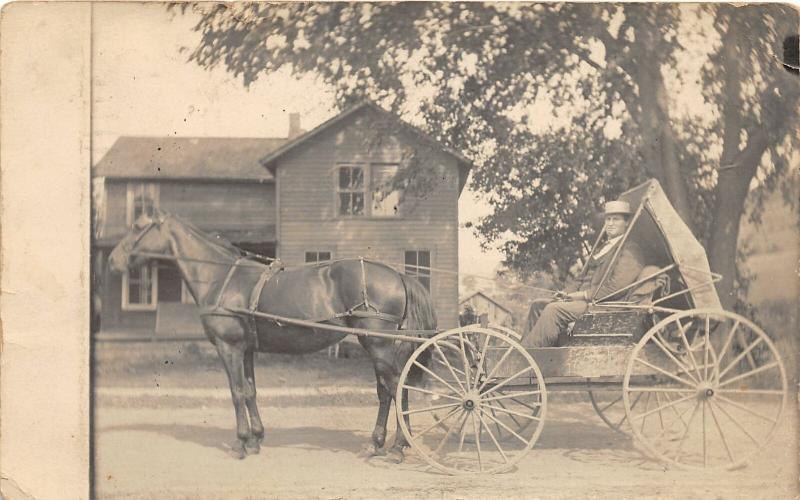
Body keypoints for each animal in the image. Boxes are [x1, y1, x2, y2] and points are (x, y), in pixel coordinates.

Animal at [108, 208, 438, 460]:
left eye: (138, 226)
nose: (113, 260)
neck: (220, 276)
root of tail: (398, 274)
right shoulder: (246, 349)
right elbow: (251, 391)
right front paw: (256, 439)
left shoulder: (229, 348)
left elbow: (236, 392)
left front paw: (240, 443)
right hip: (376, 345)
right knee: (388, 390)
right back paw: (378, 443)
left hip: (377, 344)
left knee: (394, 387)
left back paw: (398, 447)